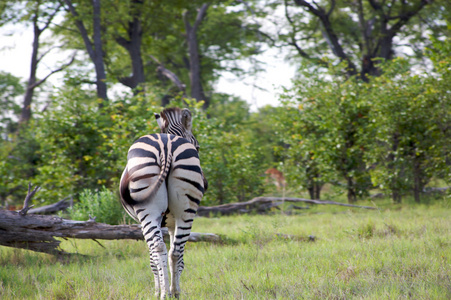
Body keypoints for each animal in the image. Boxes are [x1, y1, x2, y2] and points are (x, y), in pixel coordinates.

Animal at [118, 107, 207, 298]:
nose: (206, 183)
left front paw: (157, 290)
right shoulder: (172, 223)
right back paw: (175, 292)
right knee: (175, 252)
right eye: (197, 147)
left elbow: (152, 258)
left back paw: (164, 293)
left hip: (147, 210)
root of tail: (166, 146)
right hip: (185, 211)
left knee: (159, 248)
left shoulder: (145, 221)